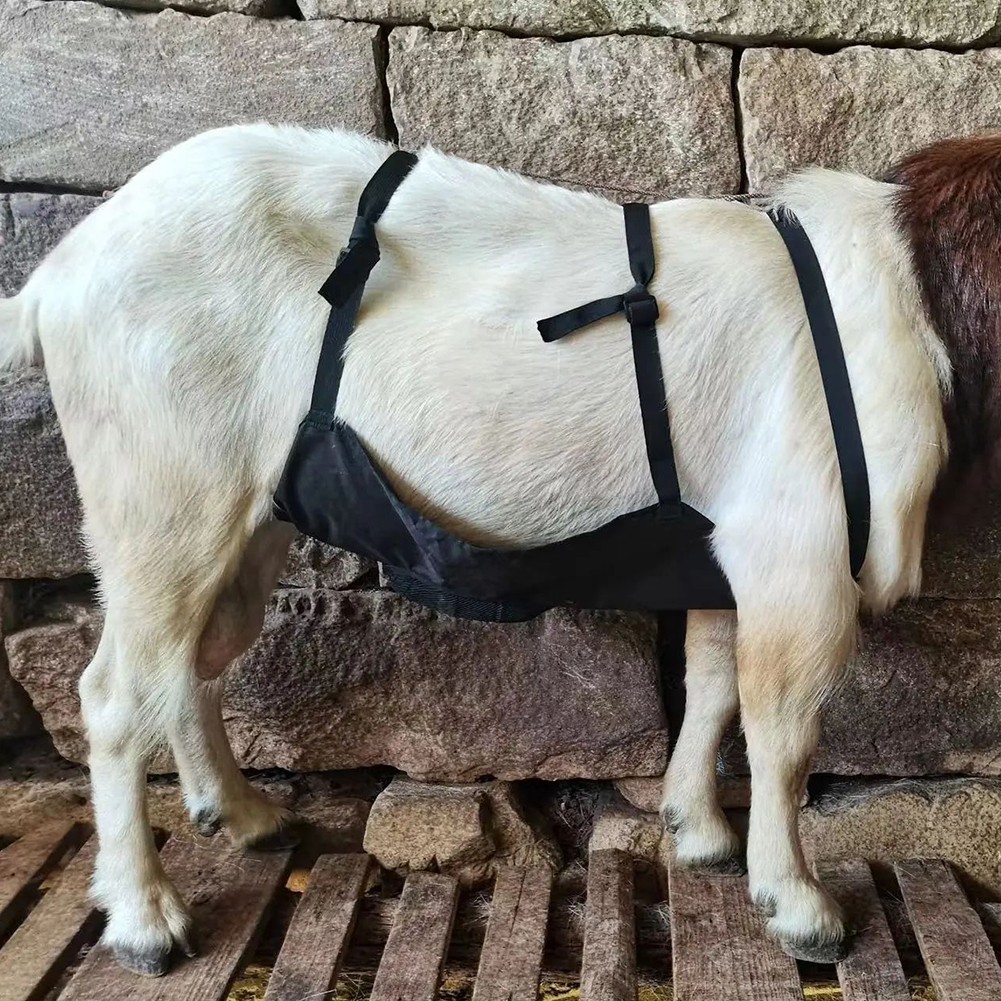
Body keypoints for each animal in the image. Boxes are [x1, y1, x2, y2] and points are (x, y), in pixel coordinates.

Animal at [1, 123, 988, 974]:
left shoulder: (723, 551)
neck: (894, 293)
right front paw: (799, 905)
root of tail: (56, 276)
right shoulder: (798, 553)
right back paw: (144, 919)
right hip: (161, 493)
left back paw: (243, 814)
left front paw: (695, 829)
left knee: (194, 661)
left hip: (244, 517)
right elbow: (783, 732)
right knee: (115, 693)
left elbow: (710, 685)